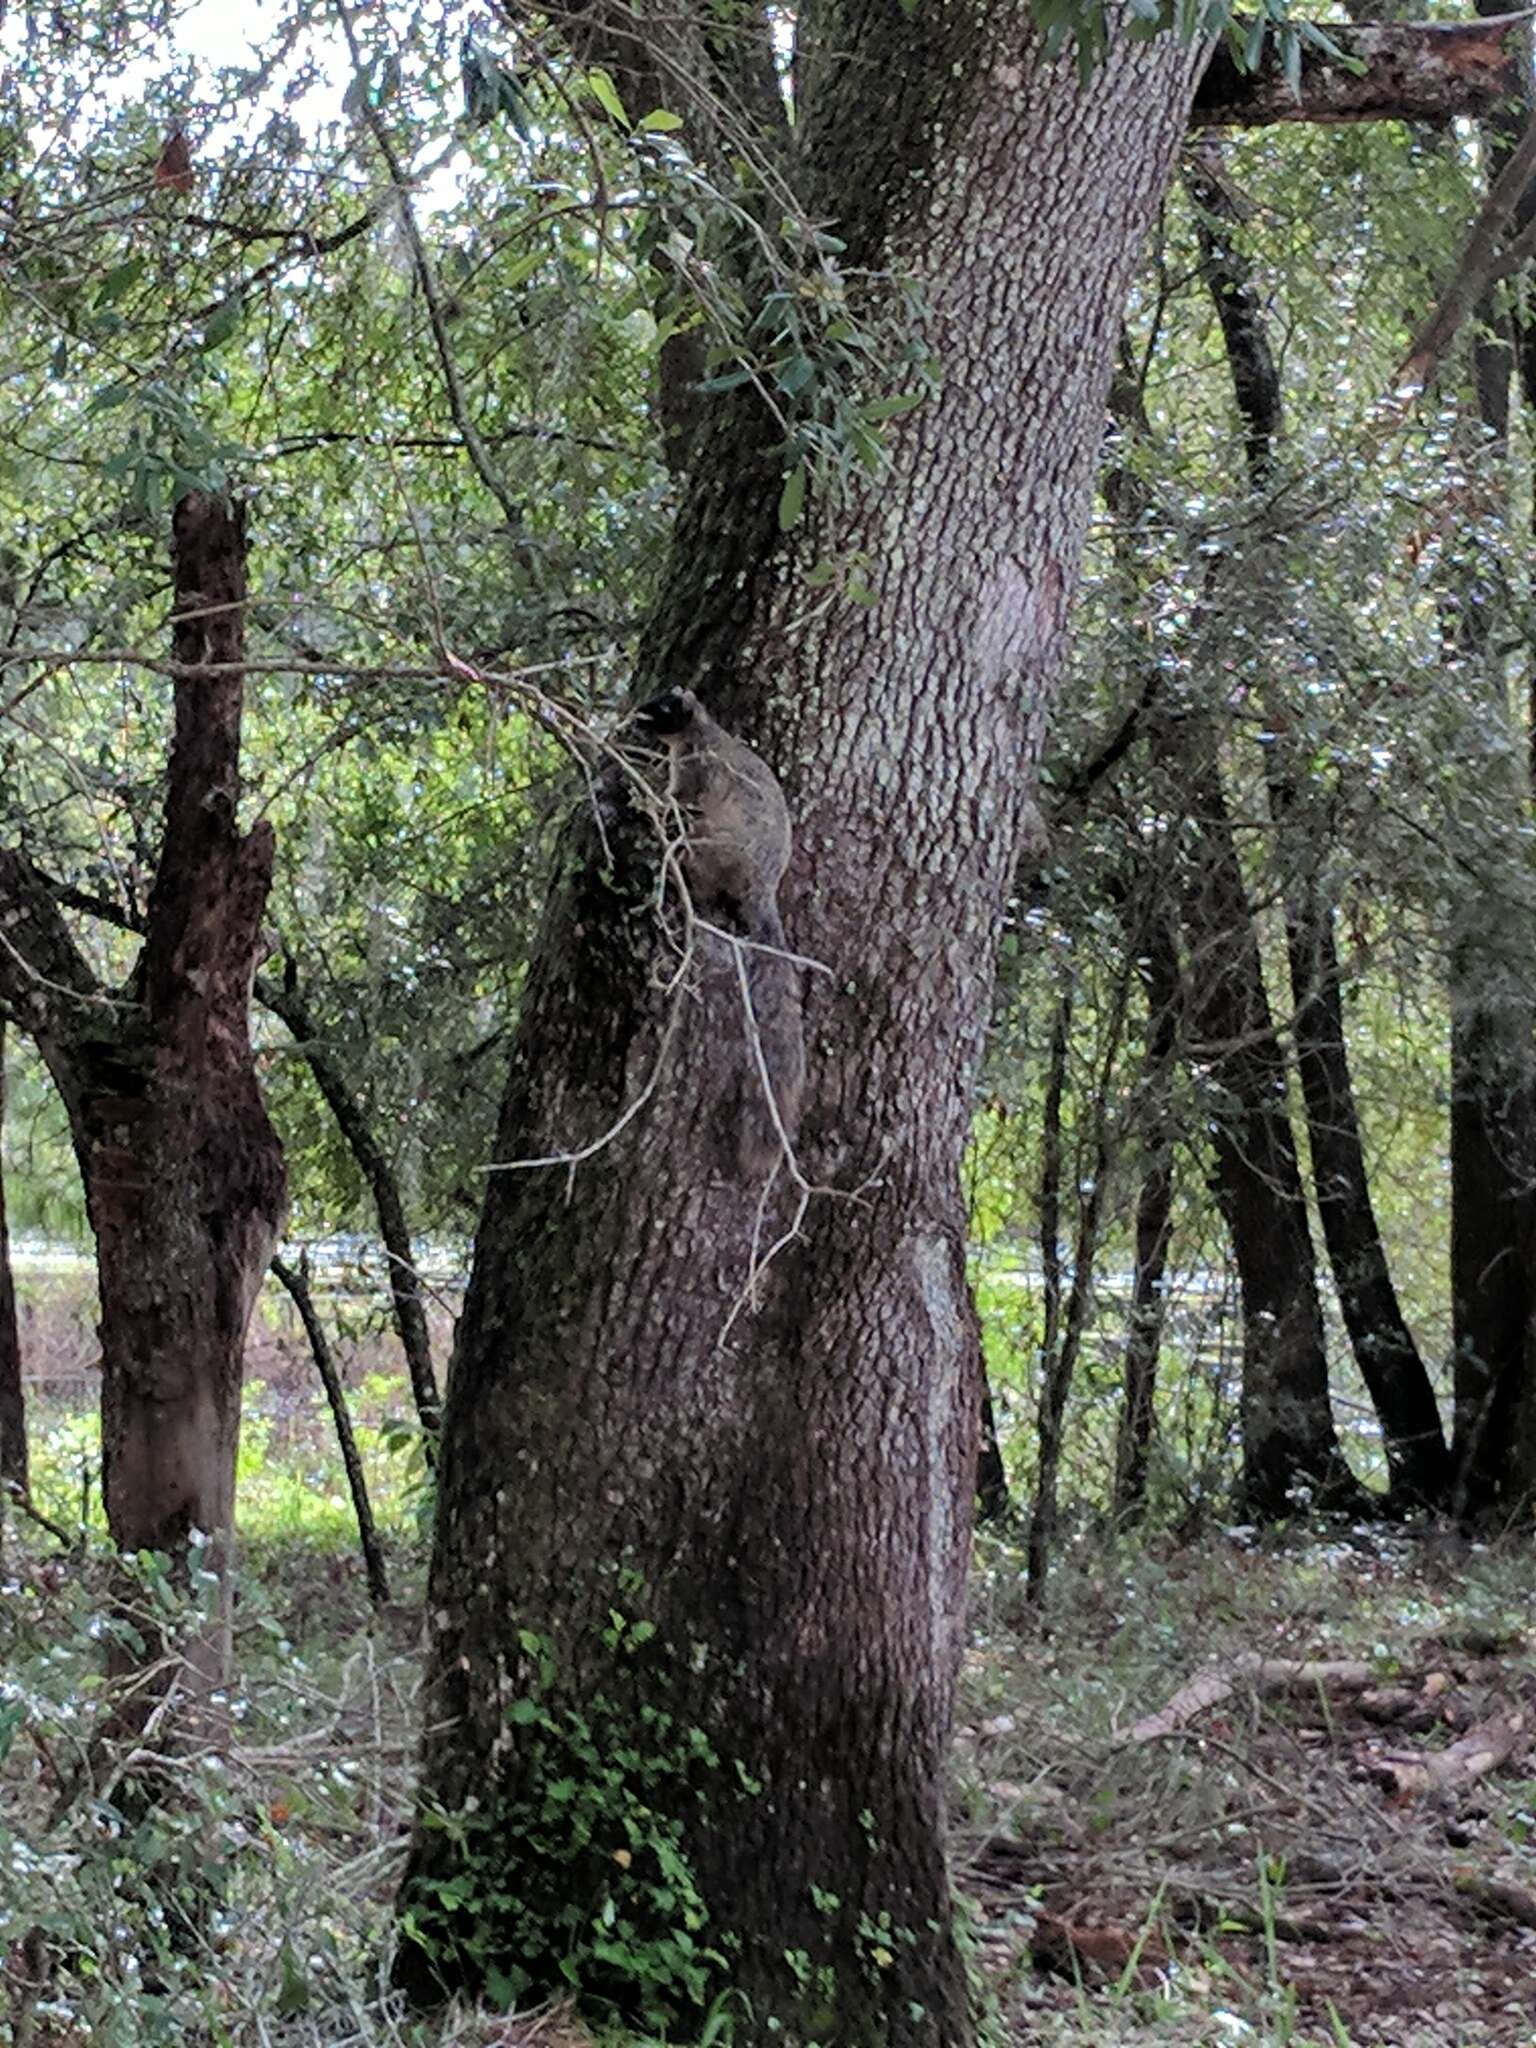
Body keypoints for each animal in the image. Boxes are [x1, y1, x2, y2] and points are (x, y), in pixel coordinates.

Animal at [634, 684, 806, 1179]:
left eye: (661, 707)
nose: (635, 715)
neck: (702, 731)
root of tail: (761, 888)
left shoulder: (696, 769)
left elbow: (678, 794)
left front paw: (656, 802)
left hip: (714, 841)